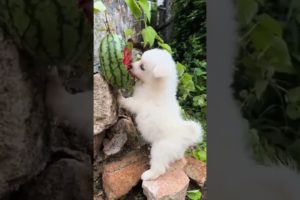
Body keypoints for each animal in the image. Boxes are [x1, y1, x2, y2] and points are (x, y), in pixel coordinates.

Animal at [118, 48, 203, 181]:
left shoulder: (138, 102)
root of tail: (184, 136)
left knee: (159, 168)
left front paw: (119, 97)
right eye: (140, 59)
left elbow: (128, 102)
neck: (156, 87)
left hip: (159, 149)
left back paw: (148, 175)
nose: (130, 65)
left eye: (142, 67)